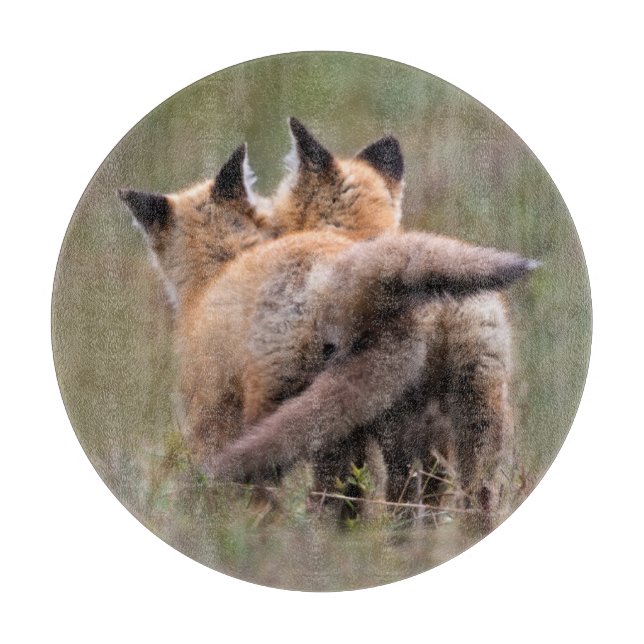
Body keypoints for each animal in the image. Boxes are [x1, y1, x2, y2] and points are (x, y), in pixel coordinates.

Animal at [120, 137, 533, 514]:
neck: (220, 268)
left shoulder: (210, 408)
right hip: (464, 417)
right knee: (455, 500)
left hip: (305, 414)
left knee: (284, 496)